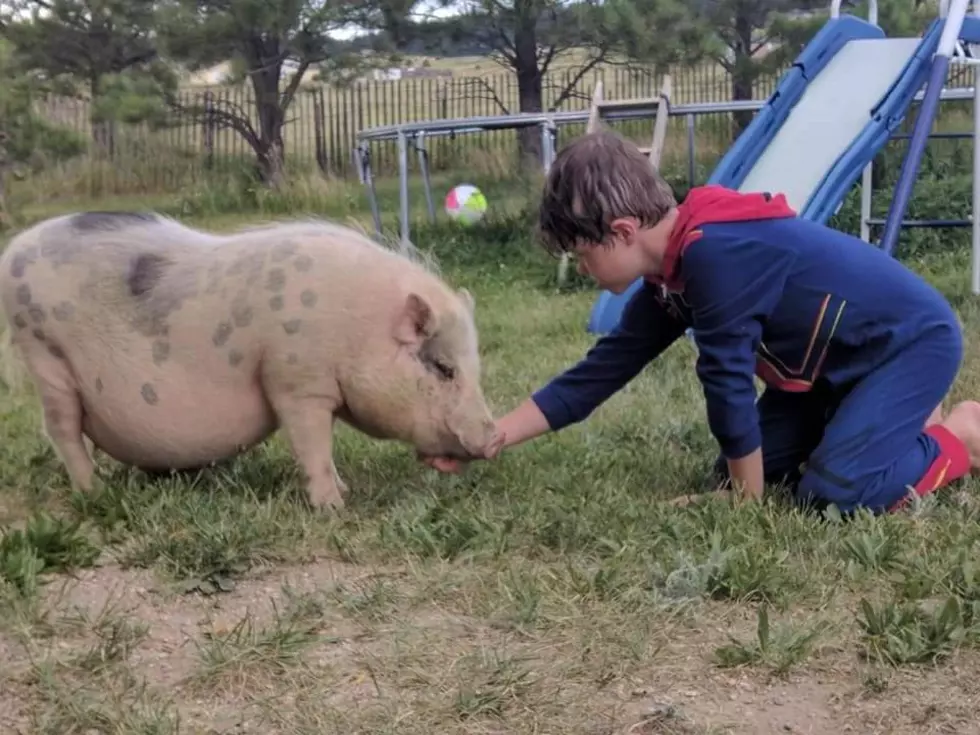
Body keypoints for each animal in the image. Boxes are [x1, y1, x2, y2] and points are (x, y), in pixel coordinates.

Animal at [0, 213, 502, 508]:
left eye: (475, 366)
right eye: (444, 368)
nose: (493, 437)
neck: (356, 325)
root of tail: (13, 249)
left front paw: (343, 492)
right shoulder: (296, 380)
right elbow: (313, 446)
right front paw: (335, 507)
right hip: (45, 354)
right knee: (61, 429)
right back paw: (96, 493)